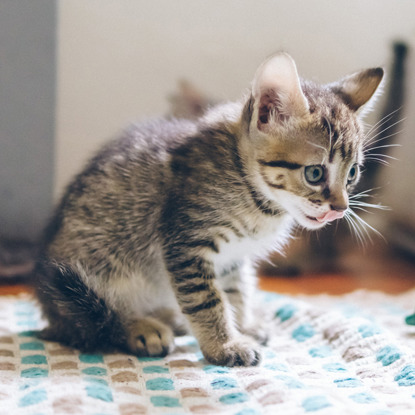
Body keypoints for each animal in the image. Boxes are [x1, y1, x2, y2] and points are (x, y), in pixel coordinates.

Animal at [35, 52, 384, 368]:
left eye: (352, 174)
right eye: (314, 173)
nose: (340, 209)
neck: (253, 192)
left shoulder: (231, 256)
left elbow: (234, 291)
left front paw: (241, 326)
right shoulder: (185, 243)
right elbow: (207, 300)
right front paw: (225, 345)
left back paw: (169, 317)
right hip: (90, 274)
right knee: (95, 321)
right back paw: (140, 327)